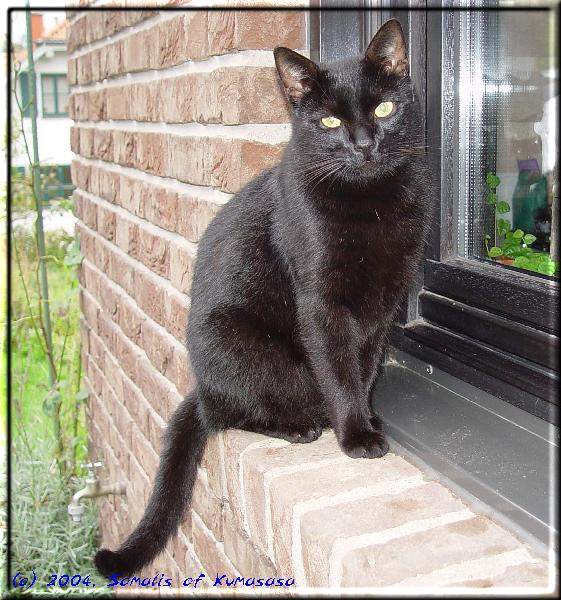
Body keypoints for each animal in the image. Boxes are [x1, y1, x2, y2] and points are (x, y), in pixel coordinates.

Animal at [94, 21, 430, 580]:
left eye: (384, 108)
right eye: (329, 120)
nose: (365, 144)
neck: (370, 205)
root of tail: (202, 388)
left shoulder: (383, 304)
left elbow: (364, 369)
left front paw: (367, 417)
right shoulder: (322, 305)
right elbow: (339, 372)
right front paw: (356, 435)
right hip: (246, 351)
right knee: (235, 413)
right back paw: (299, 427)